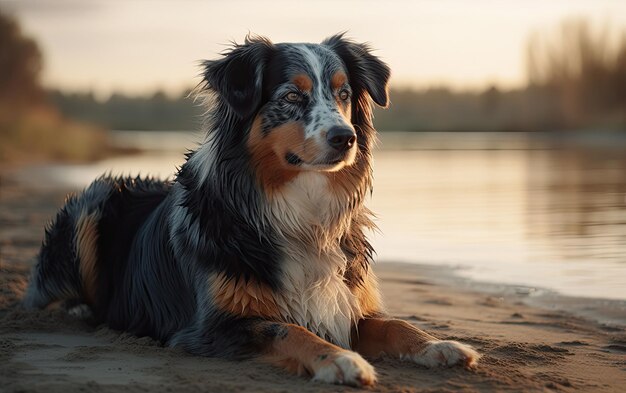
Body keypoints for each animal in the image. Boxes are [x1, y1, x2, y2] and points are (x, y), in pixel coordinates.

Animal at [22, 34, 476, 386]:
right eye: (291, 96)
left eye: (344, 94)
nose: (344, 137)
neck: (299, 211)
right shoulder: (213, 326)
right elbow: (288, 330)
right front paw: (341, 360)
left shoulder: (346, 305)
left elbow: (395, 324)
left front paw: (438, 345)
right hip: (91, 203)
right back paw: (77, 307)